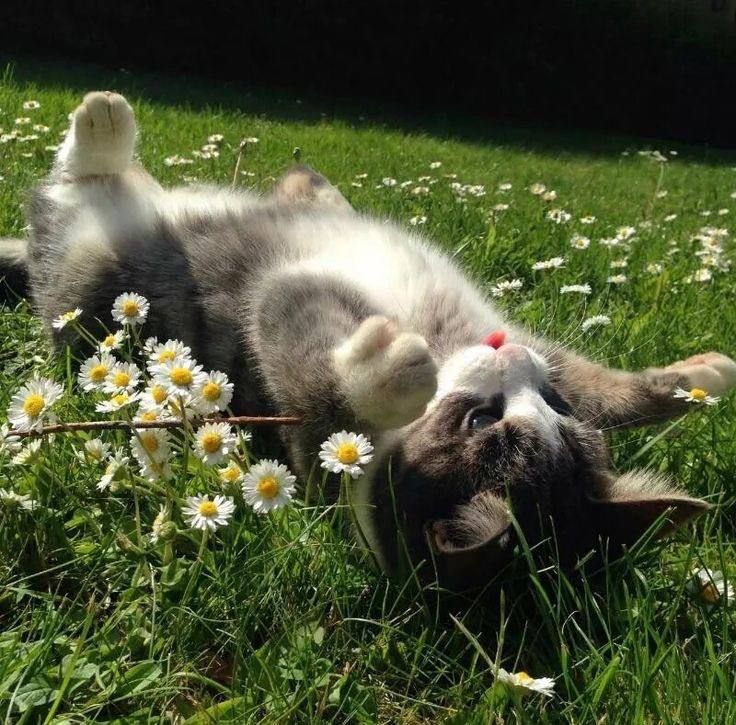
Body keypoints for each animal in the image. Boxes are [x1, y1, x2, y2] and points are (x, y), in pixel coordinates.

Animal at [1, 90, 736, 588]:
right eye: (487, 417)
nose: (507, 359)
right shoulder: (535, 350)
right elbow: (606, 386)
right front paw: (703, 378)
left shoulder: (280, 306)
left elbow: (315, 372)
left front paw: (393, 371)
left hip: (87, 266)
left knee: (71, 192)